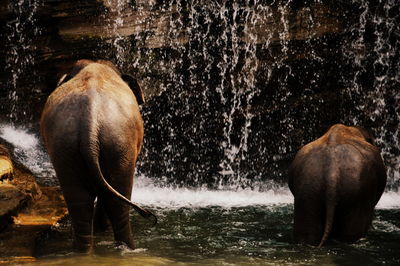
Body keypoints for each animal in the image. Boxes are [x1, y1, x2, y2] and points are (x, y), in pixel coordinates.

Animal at [40, 59, 156, 252]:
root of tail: (90, 123)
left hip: (65, 146)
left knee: (79, 201)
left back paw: (82, 250)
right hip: (120, 145)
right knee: (118, 202)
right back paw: (127, 247)